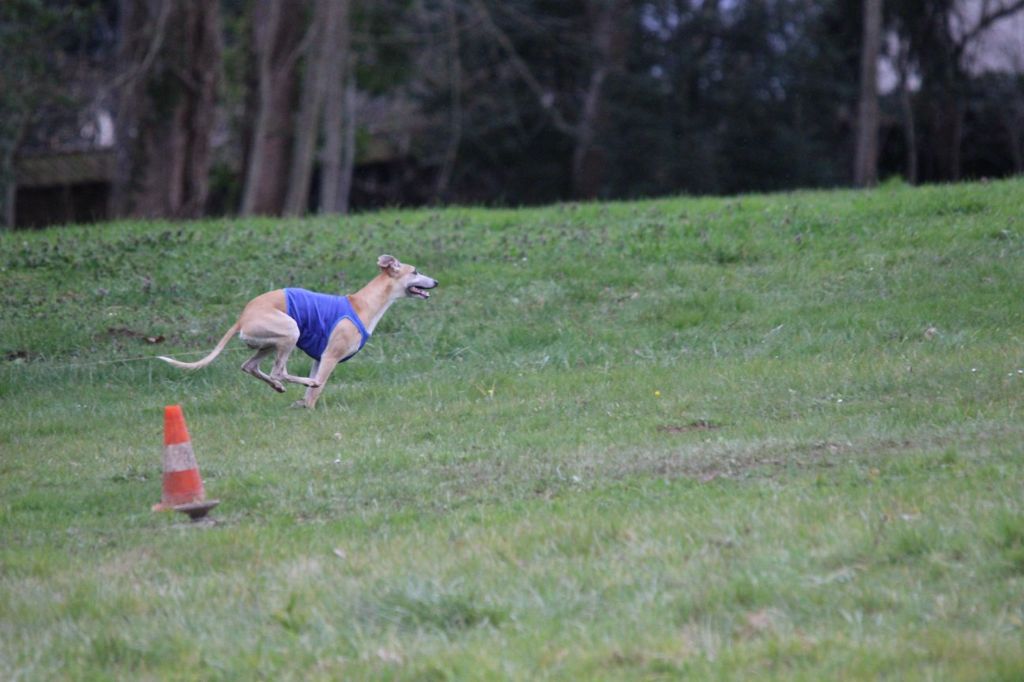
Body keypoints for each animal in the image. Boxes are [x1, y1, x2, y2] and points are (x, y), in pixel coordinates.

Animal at [157, 251, 438, 405]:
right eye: (415, 271)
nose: (435, 281)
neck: (362, 304)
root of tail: (243, 316)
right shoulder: (330, 356)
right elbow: (318, 388)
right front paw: (309, 404)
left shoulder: (319, 357)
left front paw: (302, 403)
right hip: (290, 331)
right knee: (280, 371)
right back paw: (298, 382)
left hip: (270, 342)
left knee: (250, 366)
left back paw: (277, 386)